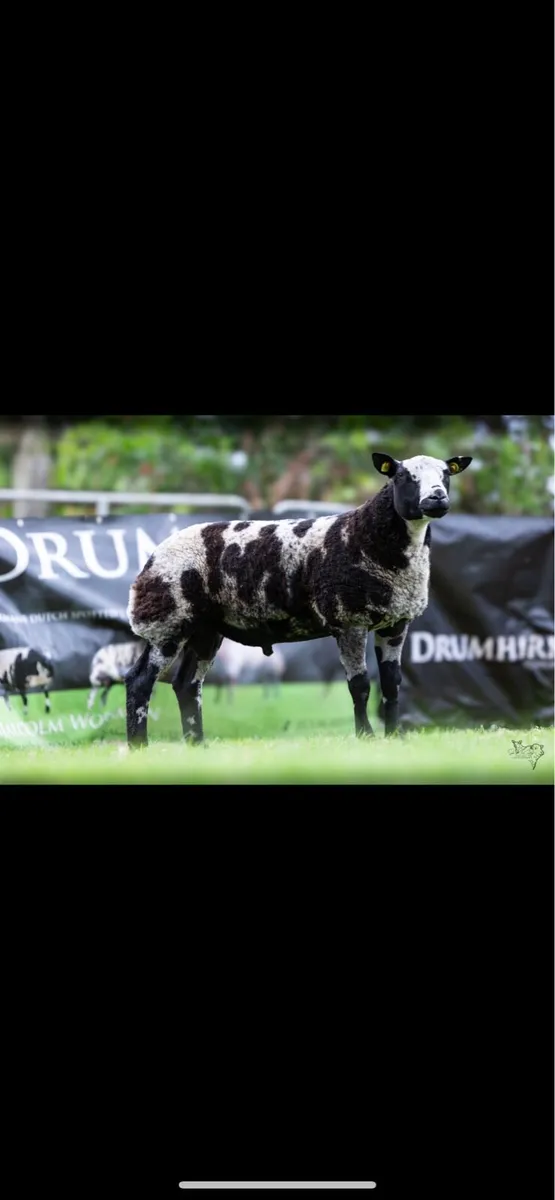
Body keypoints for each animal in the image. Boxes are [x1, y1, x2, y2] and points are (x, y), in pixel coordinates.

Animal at [124, 451, 472, 747]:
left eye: (446, 474)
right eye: (403, 476)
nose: (437, 497)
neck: (368, 536)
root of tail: (152, 558)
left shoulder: (396, 622)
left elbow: (391, 683)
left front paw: (395, 736)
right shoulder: (349, 619)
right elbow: (359, 684)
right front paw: (366, 736)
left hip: (205, 629)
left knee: (186, 685)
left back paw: (197, 745)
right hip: (167, 620)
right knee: (139, 681)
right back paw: (139, 745)